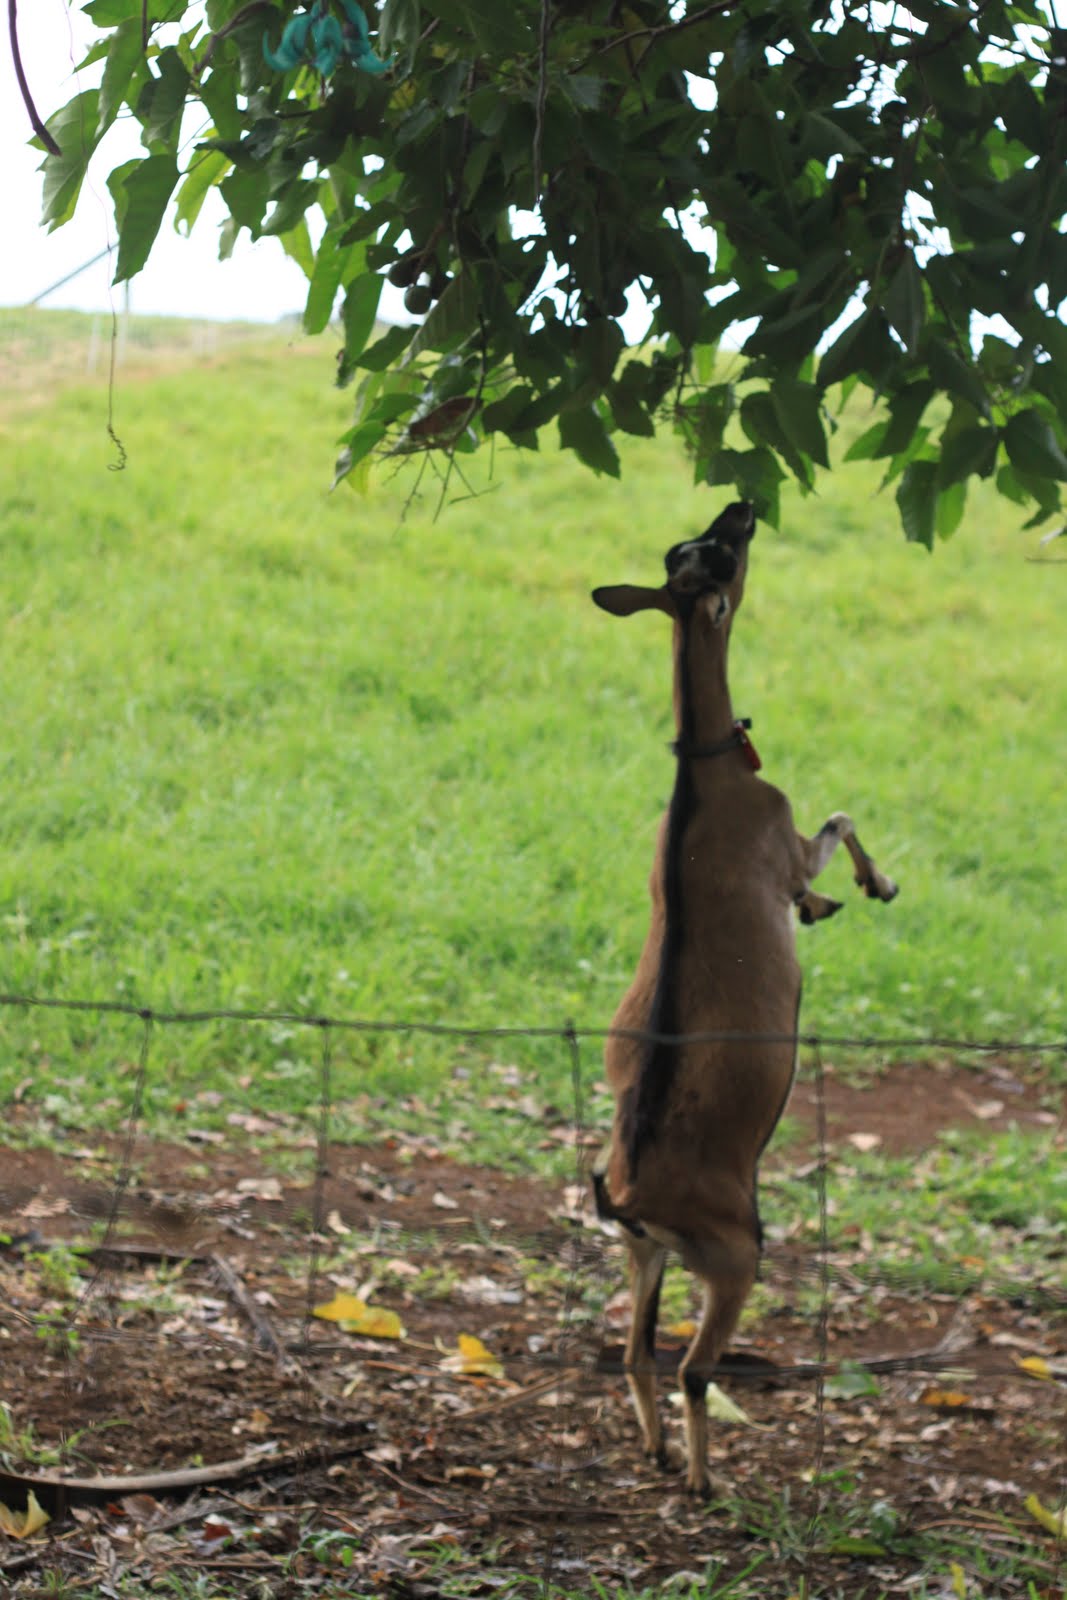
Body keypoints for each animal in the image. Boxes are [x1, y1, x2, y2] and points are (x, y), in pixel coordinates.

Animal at [591, 500, 898, 1495]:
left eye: (689, 545)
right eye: (724, 554)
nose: (742, 505)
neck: (706, 773)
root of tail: (629, 1196)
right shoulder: (785, 842)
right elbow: (837, 819)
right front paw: (861, 890)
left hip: (643, 1253)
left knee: (634, 1353)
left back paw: (654, 1450)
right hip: (735, 1256)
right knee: (691, 1368)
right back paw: (701, 1478)